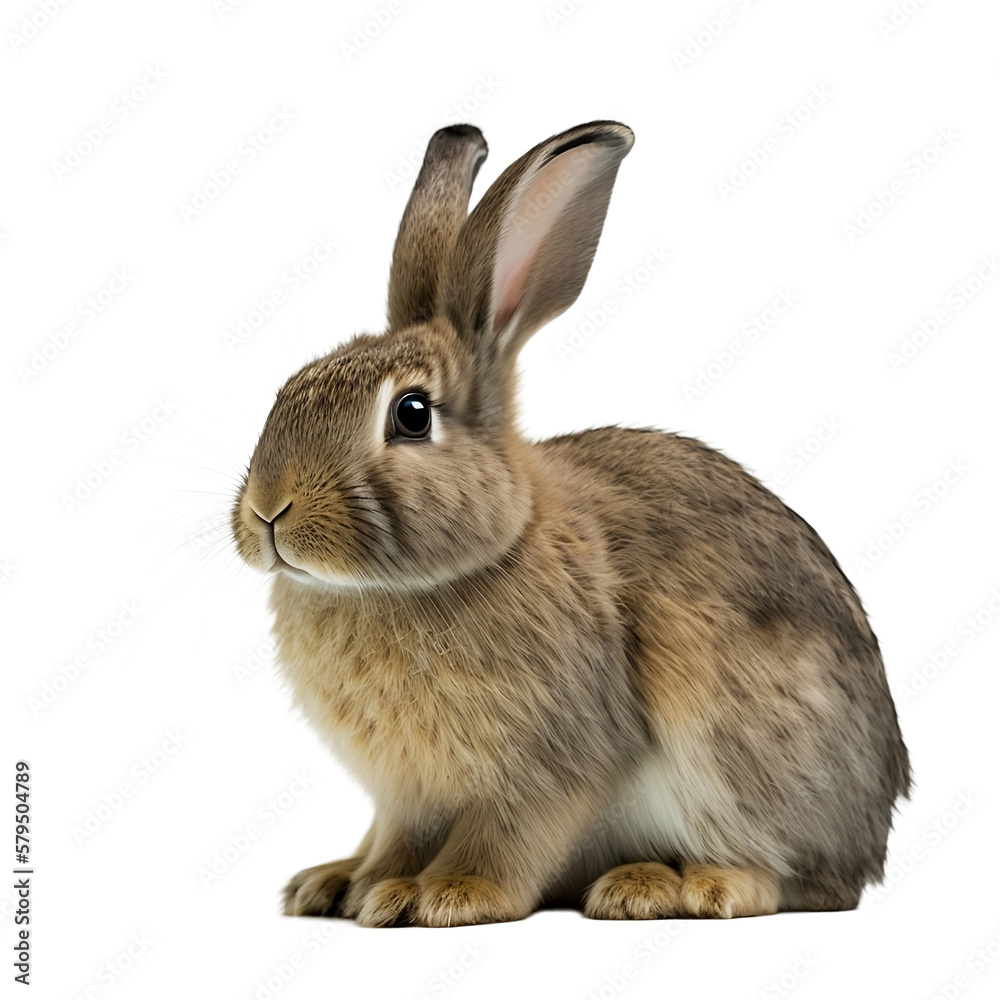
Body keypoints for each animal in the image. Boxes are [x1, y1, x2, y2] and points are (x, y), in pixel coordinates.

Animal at [231, 120, 911, 926]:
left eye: (412, 414)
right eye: (285, 390)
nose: (268, 509)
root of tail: (875, 832)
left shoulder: (556, 760)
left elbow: (509, 835)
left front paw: (450, 896)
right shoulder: (407, 797)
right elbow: (396, 840)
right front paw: (369, 888)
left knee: (798, 881)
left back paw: (675, 885)